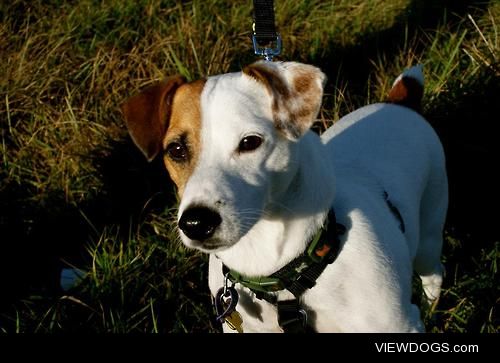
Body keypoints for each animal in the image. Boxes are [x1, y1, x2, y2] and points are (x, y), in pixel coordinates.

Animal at [122, 61, 450, 334]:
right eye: (176, 150)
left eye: (250, 142)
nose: (196, 223)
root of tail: (398, 103)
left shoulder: (398, 326)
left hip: (429, 236)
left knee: (434, 272)